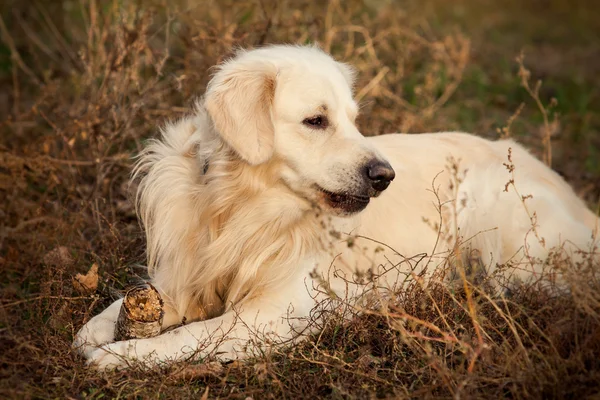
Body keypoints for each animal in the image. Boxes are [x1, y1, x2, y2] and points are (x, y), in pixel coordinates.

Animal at [72, 43, 596, 368]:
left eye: (353, 120)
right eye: (316, 120)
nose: (384, 176)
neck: (239, 206)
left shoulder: (273, 314)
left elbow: (189, 335)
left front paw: (122, 356)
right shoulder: (182, 276)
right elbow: (130, 302)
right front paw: (95, 331)